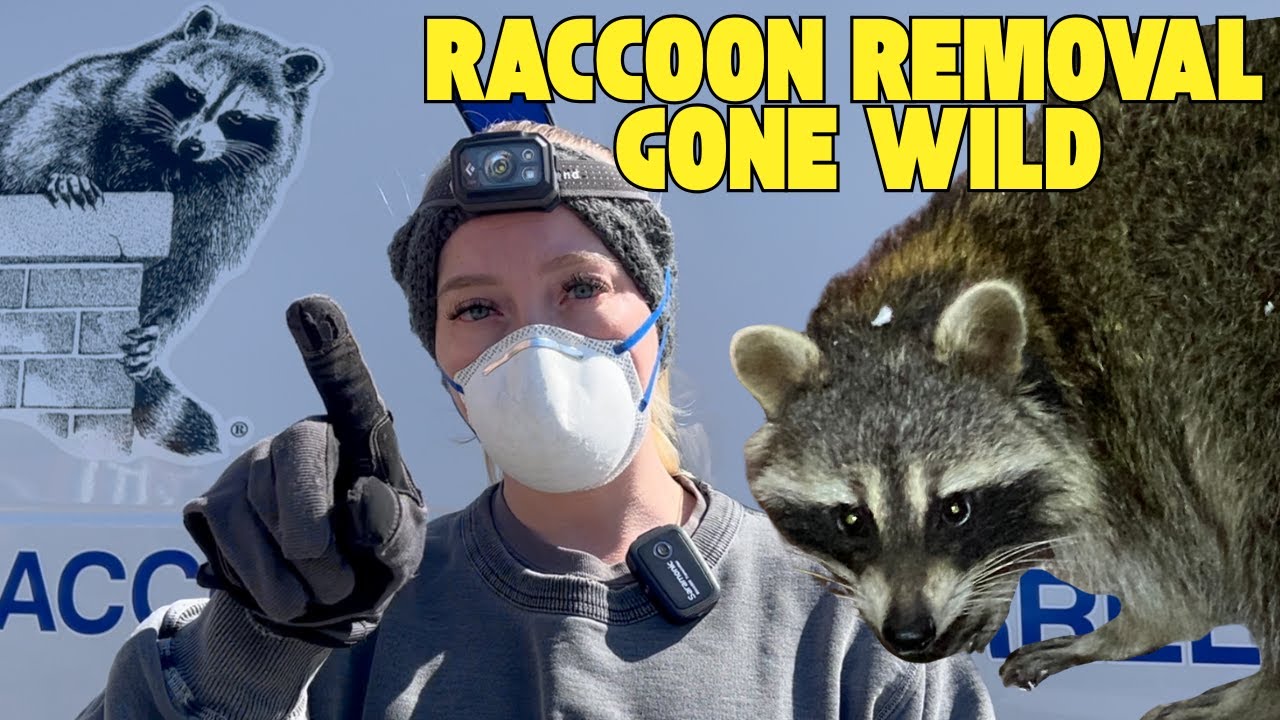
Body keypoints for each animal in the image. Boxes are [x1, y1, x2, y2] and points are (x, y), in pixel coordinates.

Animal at [0, 5, 325, 455]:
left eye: (236, 118)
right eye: (192, 94)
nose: (193, 144)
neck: (174, 159)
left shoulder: (237, 199)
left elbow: (194, 264)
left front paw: (158, 327)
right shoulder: (89, 91)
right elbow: (40, 139)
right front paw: (62, 174)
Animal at [730, 16, 1280, 719]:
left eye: (954, 509)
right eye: (851, 518)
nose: (909, 635)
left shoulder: (1132, 410)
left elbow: (1186, 578)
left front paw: (1134, 626)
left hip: (1242, 362)